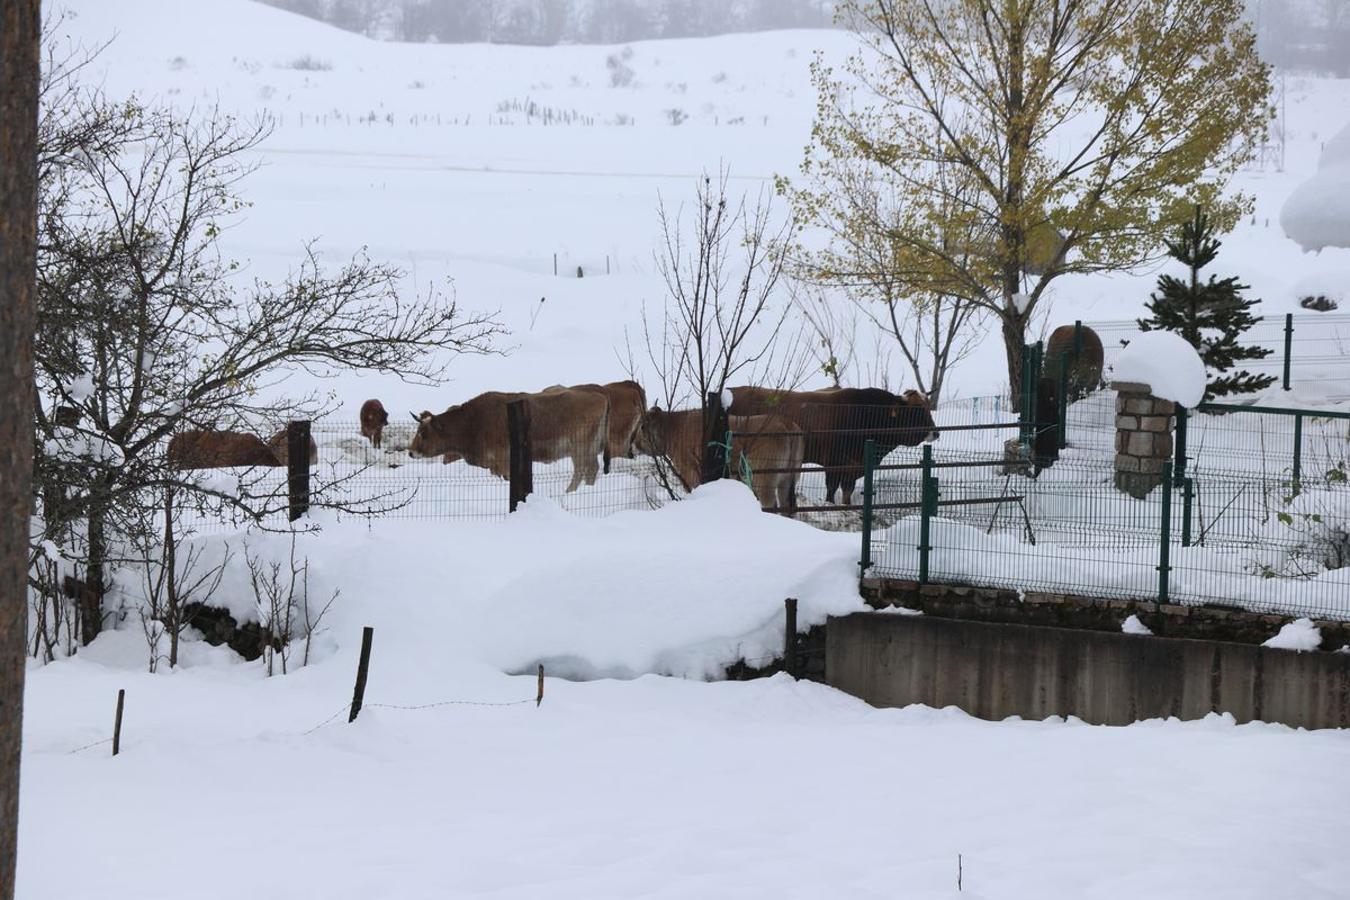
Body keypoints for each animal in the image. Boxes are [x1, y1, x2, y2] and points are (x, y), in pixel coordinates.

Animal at [405, 388, 607, 493]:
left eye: (423, 432)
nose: (411, 452)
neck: (473, 423)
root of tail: (599, 396)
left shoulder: (504, 462)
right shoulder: (494, 466)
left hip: (579, 447)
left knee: (582, 470)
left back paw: (568, 492)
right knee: (592, 468)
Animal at [631, 407, 799, 512]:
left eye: (642, 427)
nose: (632, 446)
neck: (675, 429)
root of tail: (785, 422)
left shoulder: (690, 472)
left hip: (764, 478)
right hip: (787, 479)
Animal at [729, 383, 939, 504]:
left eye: (928, 407)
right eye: (916, 410)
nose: (935, 433)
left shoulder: (853, 466)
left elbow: (847, 492)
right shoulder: (834, 464)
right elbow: (832, 490)